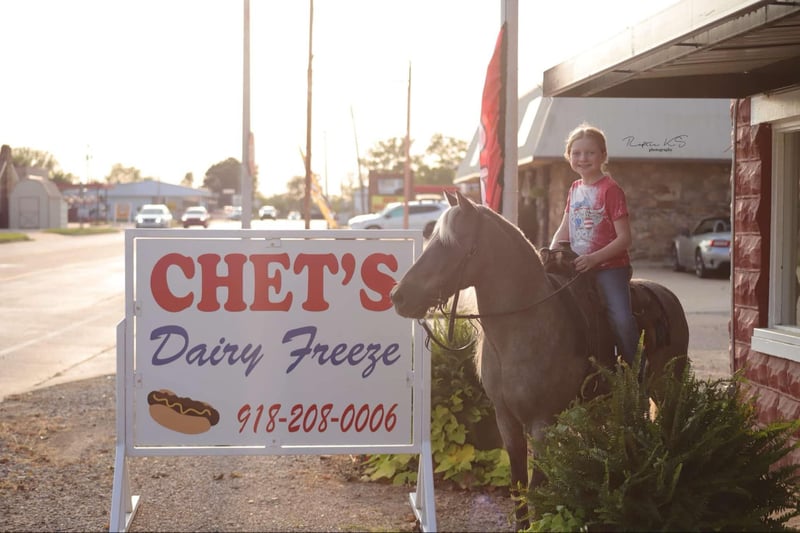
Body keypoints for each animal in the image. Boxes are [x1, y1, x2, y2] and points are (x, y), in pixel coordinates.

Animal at [390, 191, 689, 528]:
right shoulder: (506, 419)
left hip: (665, 391)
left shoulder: (542, 423)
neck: (523, 325)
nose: (399, 296)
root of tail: (667, 296)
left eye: (449, 245)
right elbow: (519, 484)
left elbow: (535, 487)